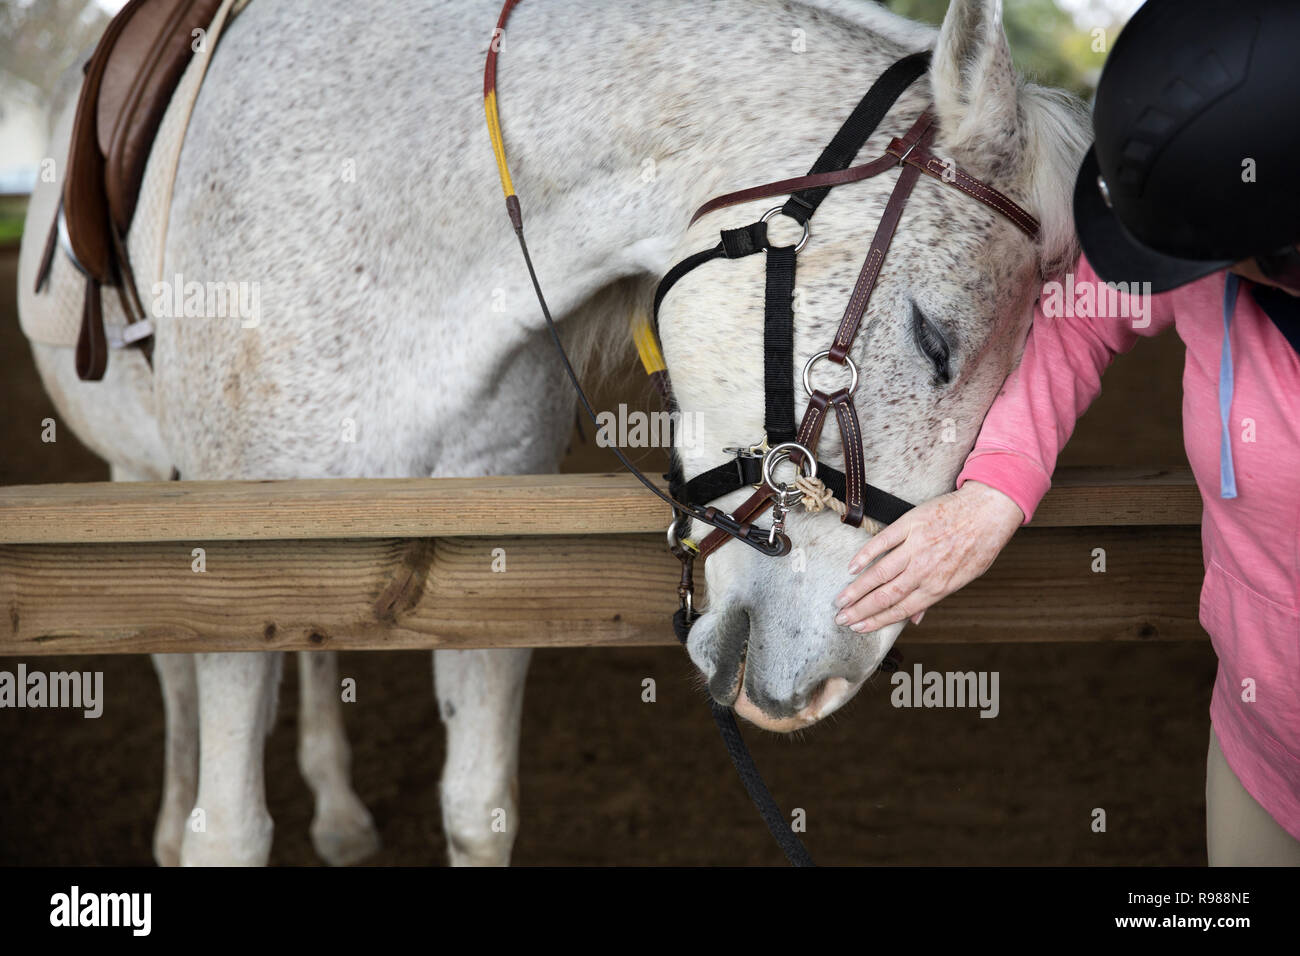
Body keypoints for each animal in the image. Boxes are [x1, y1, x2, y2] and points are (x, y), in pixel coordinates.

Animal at [17, 0, 1088, 865]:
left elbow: (475, 808)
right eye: (932, 338)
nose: (822, 680)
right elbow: (229, 826)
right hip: (138, 477)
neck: (387, 209)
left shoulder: (480, 566)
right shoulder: (233, 569)